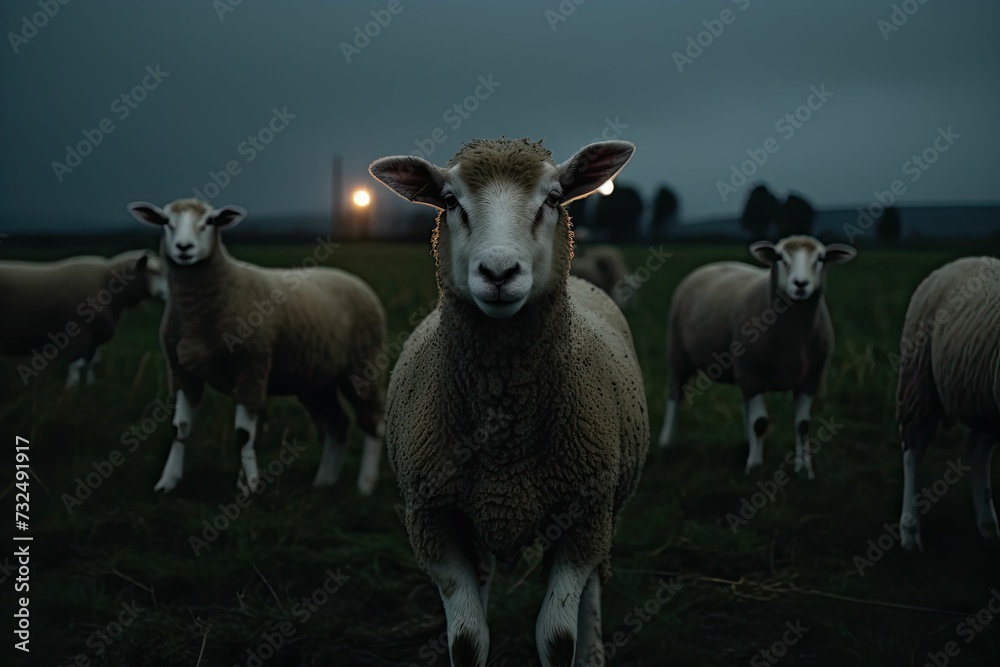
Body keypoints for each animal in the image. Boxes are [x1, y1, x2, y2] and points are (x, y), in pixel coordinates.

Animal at [0, 250, 166, 389]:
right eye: (153, 272)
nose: (167, 294)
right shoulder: (77, 334)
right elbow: (75, 366)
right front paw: (70, 393)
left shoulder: (94, 338)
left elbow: (89, 364)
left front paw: (89, 388)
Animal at [126, 198, 388, 496]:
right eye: (166, 222)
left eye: (210, 222)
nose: (184, 248)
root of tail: (353, 279)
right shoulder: (182, 372)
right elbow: (179, 427)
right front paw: (167, 482)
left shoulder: (253, 367)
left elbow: (243, 435)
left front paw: (249, 486)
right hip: (315, 381)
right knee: (337, 426)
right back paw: (324, 482)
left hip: (364, 366)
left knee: (373, 424)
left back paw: (365, 484)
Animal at [369, 138, 649, 667]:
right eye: (449, 201)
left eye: (554, 198)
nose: (499, 273)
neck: (504, 441)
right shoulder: (433, 521)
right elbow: (467, 638)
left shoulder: (584, 515)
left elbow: (557, 639)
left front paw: (576, 647)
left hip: (604, 512)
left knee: (593, 587)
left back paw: (594, 650)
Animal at [657, 235, 856, 478]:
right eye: (779, 257)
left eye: (820, 258)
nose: (800, 284)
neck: (794, 335)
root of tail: (712, 265)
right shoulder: (751, 374)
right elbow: (760, 423)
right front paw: (755, 467)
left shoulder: (810, 379)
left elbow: (802, 425)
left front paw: (804, 470)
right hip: (679, 355)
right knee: (675, 394)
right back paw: (667, 441)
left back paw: (747, 442)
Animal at [895, 256, 1000, 551]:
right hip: (918, 378)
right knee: (914, 446)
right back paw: (910, 532)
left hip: (981, 396)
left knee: (978, 449)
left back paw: (988, 525)